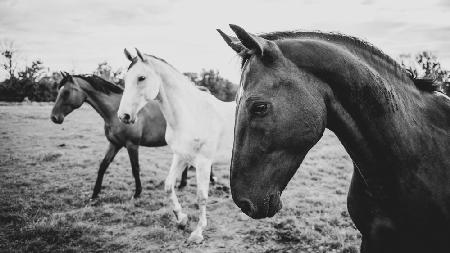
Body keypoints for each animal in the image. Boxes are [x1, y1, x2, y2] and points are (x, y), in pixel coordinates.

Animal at [51, 73, 214, 200]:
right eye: (58, 91)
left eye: (66, 92)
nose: (54, 117)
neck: (116, 112)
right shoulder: (114, 144)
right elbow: (103, 166)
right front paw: (94, 194)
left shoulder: (132, 145)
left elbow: (135, 168)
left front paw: (137, 193)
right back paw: (183, 184)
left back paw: (210, 180)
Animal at [116, 48, 236, 243]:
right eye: (125, 79)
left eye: (141, 78)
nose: (124, 116)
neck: (191, 114)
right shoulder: (180, 156)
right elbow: (168, 186)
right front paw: (181, 219)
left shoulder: (203, 162)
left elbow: (202, 197)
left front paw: (198, 232)